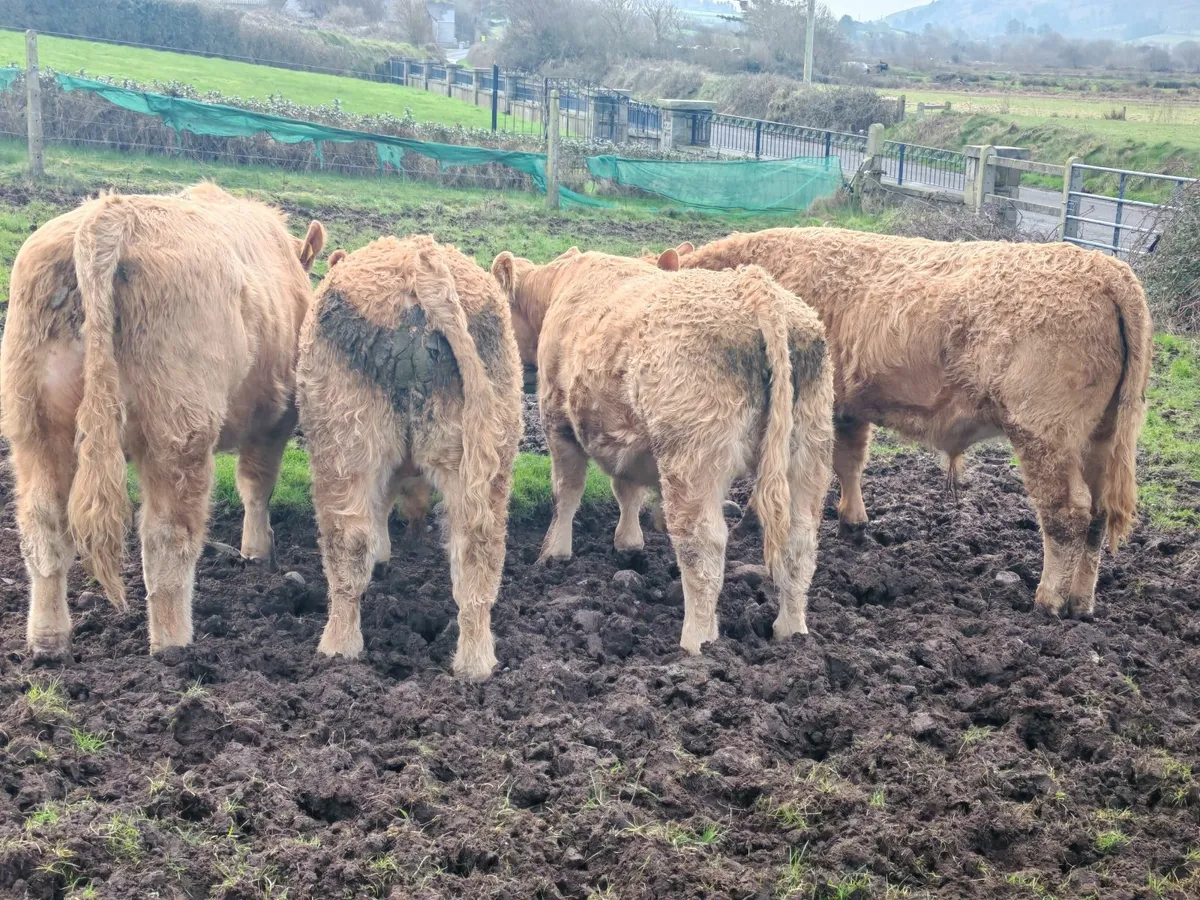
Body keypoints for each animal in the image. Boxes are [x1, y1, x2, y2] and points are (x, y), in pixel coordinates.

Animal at [0, 184, 326, 657]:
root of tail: (108, 215)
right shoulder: (276, 418)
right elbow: (256, 485)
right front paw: (256, 551)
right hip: (178, 432)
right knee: (167, 537)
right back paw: (174, 645)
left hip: (35, 428)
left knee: (44, 525)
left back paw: (47, 640)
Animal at [297, 236, 522, 681]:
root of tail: (417, 264)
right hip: (486, 454)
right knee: (478, 551)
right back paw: (476, 662)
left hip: (345, 443)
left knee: (348, 542)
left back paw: (337, 648)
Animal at [490, 247, 834, 654]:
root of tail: (753, 288)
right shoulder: (627, 437)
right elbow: (627, 490)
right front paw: (628, 543)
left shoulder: (558, 421)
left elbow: (566, 493)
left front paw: (554, 553)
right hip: (807, 451)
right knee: (799, 543)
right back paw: (791, 631)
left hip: (691, 459)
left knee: (702, 546)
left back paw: (697, 641)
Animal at [673, 228, 1153, 619]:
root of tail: (1106, 269)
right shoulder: (848, 406)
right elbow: (850, 462)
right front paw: (853, 524)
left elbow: (778, 473)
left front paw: (754, 520)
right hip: (1100, 438)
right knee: (1098, 514)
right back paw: (1081, 603)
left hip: (1045, 435)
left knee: (1066, 514)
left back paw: (1048, 601)